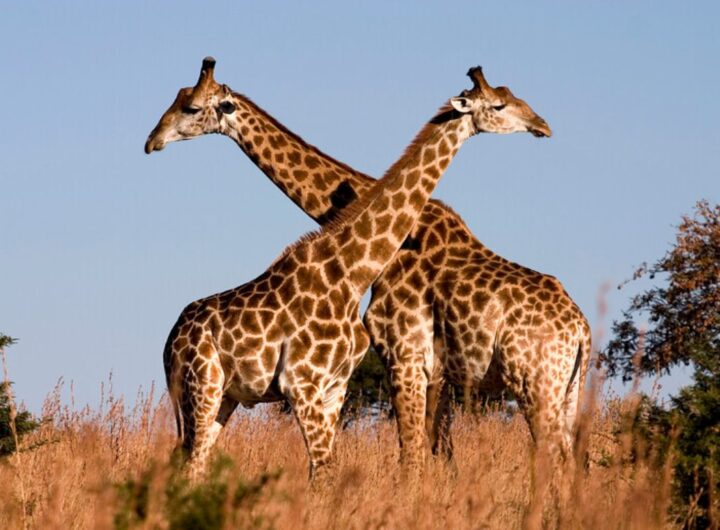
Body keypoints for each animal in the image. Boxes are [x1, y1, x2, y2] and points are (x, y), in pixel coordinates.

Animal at [146, 59, 588, 475]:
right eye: (501, 102)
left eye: (190, 107)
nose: (152, 141)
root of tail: (582, 329)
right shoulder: (415, 370)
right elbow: (426, 458)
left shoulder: (402, 360)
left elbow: (415, 458)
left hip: (539, 384)